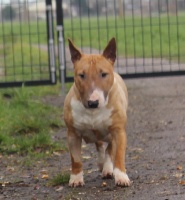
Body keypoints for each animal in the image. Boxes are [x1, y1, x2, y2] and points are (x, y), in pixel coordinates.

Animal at [64, 38, 131, 188]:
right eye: (82, 75)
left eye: (103, 74)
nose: (93, 102)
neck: (93, 111)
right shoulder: (72, 133)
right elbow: (75, 159)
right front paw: (76, 178)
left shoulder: (118, 130)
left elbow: (118, 154)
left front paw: (121, 177)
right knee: (100, 145)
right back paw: (101, 164)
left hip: (112, 133)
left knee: (109, 149)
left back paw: (107, 168)